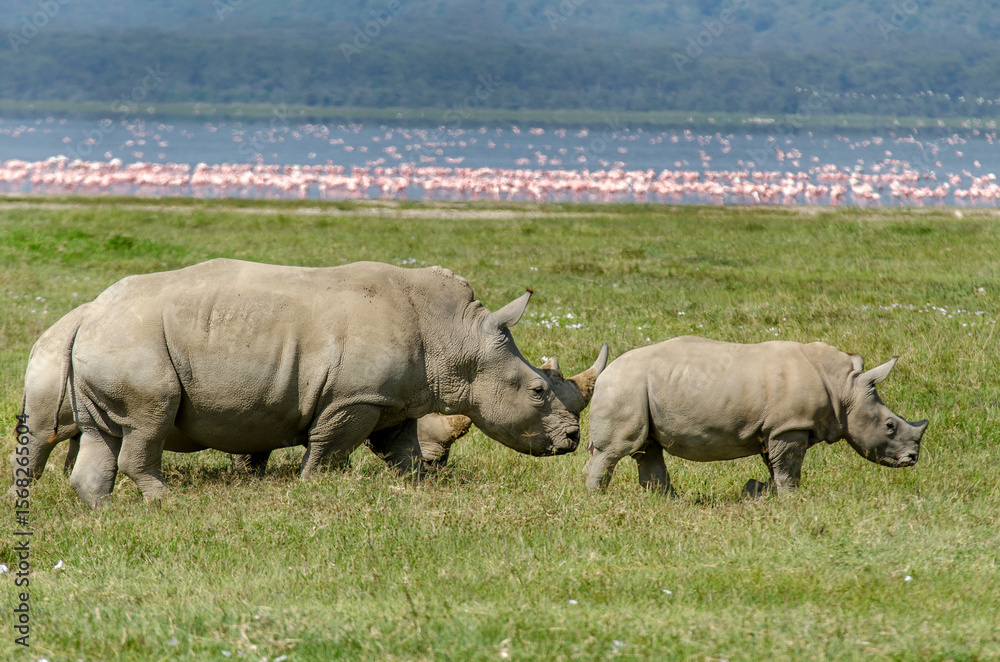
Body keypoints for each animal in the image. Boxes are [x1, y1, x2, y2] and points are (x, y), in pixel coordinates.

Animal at [51, 259, 605, 507]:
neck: (456, 338)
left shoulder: (392, 400)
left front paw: (419, 488)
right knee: (150, 418)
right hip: (133, 342)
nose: (572, 439)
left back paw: (103, 509)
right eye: (537, 391)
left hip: (109, 342)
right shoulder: (353, 397)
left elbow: (402, 450)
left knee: (104, 430)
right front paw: (313, 488)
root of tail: (87, 314)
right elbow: (330, 446)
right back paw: (165, 501)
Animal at [583, 336, 928, 497]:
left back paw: (668, 502)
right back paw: (596, 500)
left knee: (649, 448)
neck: (844, 388)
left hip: (639, 389)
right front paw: (792, 500)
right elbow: (789, 467)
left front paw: (768, 494)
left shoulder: (775, 429)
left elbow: (777, 466)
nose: (912, 458)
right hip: (625, 387)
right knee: (614, 450)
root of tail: (606, 373)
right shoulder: (790, 426)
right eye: (889, 426)